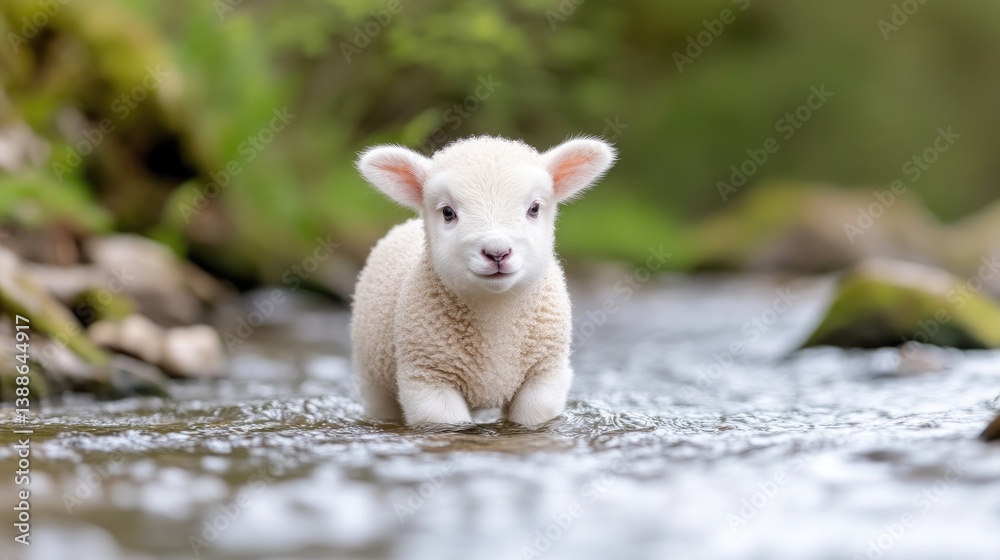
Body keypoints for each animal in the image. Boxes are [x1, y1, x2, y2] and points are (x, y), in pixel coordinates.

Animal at [351, 135, 616, 426]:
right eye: (447, 212)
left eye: (534, 208)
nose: (497, 252)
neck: (495, 314)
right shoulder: (427, 378)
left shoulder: (544, 374)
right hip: (374, 379)